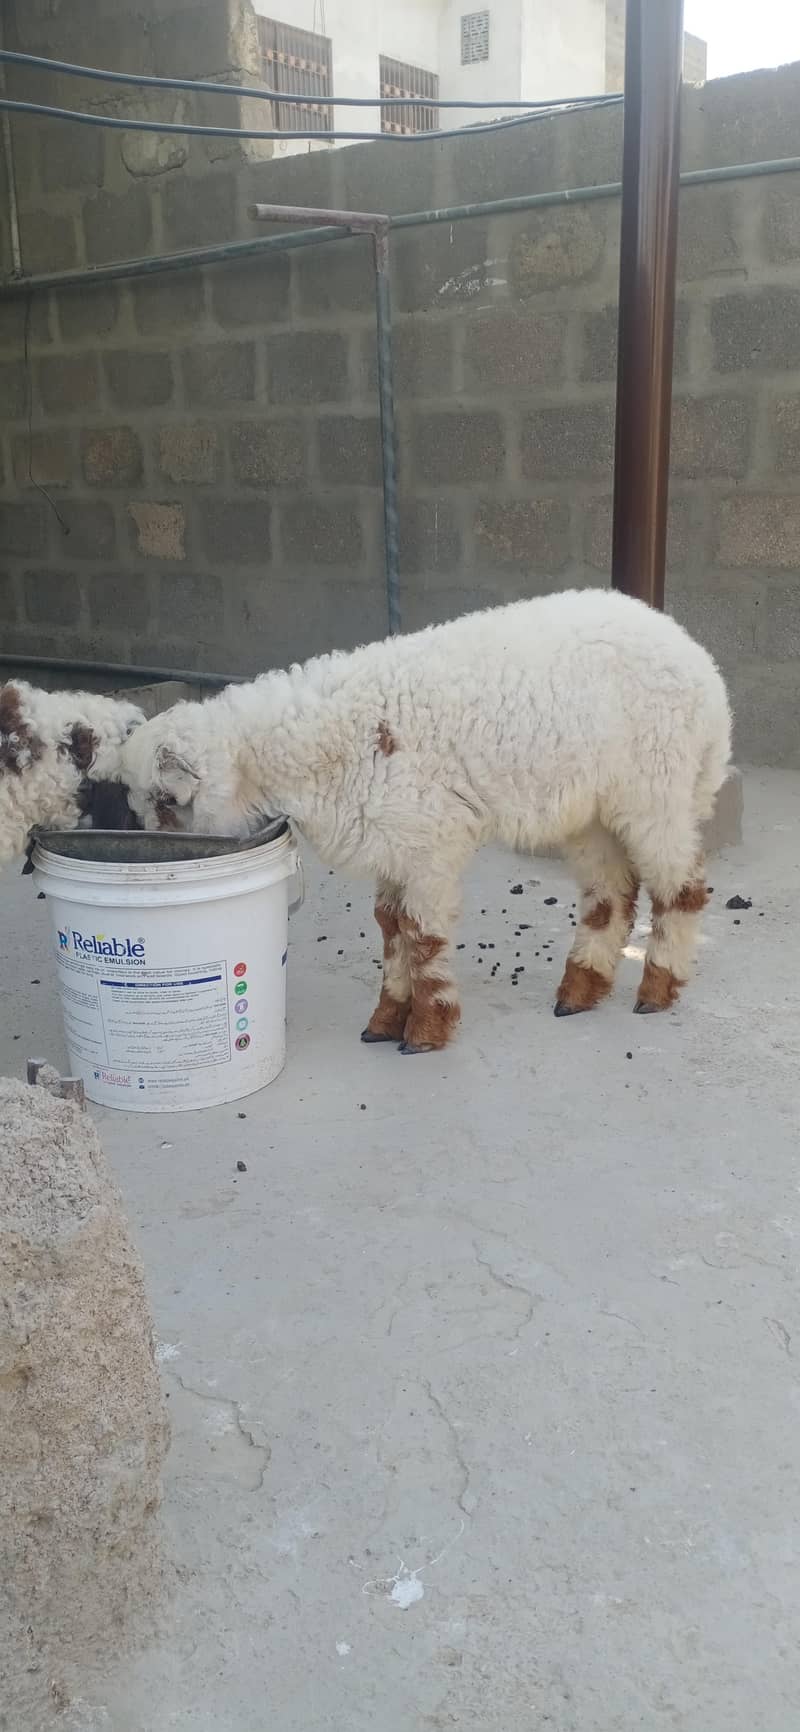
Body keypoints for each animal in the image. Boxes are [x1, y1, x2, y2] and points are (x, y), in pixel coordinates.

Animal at [119, 590, 732, 1054]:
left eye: (167, 800)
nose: (165, 856)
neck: (325, 746)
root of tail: (700, 662)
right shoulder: (393, 842)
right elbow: (391, 928)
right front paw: (383, 1023)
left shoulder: (427, 842)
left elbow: (422, 935)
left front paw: (426, 1031)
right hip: (590, 807)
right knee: (612, 894)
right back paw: (579, 991)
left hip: (658, 784)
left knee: (681, 887)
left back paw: (656, 991)